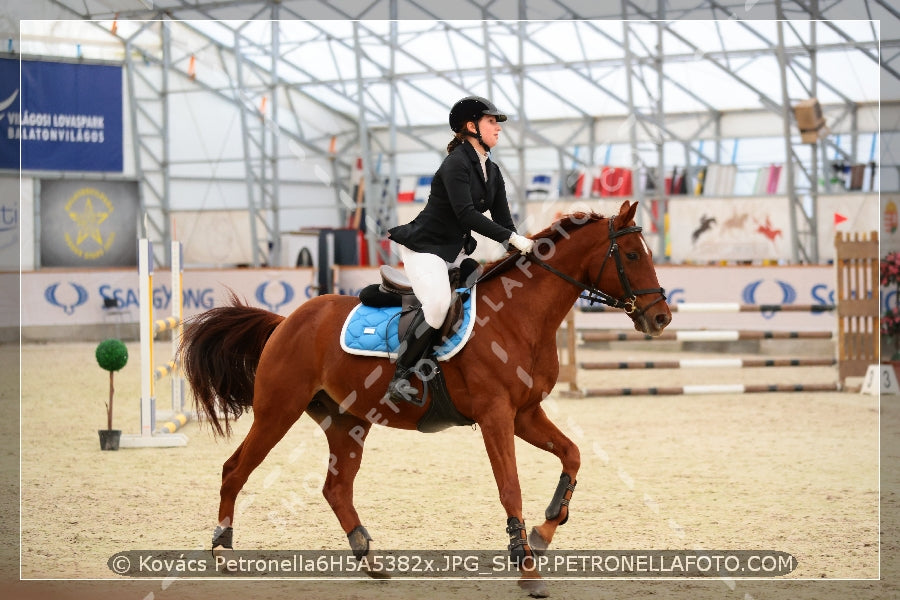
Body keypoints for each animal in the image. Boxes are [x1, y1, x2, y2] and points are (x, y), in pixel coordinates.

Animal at [179, 200, 672, 596]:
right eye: (631, 255)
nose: (661, 318)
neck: (520, 315)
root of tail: (286, 321)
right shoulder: (496, 415)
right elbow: (510, 487)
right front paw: (527, 567)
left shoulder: (525, 413)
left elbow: (572, 455)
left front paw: (544, 530)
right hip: (277, 411)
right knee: (235, 470)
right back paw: (222, 550)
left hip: (347, 421)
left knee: (336, 488)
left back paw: (369, 557)